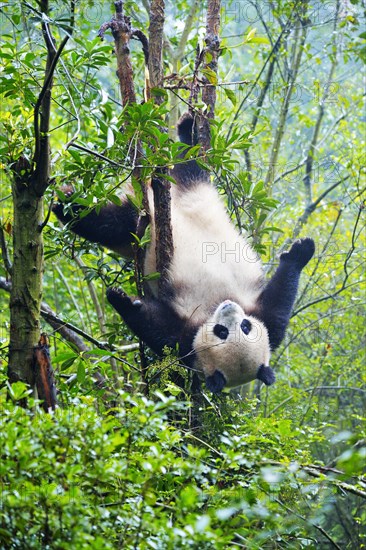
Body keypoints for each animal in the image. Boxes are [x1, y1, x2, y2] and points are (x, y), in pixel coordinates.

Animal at [53, 114, 314, 394]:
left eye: (237, 328)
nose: (229, 307)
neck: (212, 308)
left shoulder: (189, 340)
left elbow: (156, 328)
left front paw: (122, 300)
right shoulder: (264, 319)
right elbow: (280, 302)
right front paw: (302, 250)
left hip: (135, 228)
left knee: (106, 224)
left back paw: (66, 204)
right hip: (187, 190)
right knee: (190, 163)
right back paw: (188, 129)